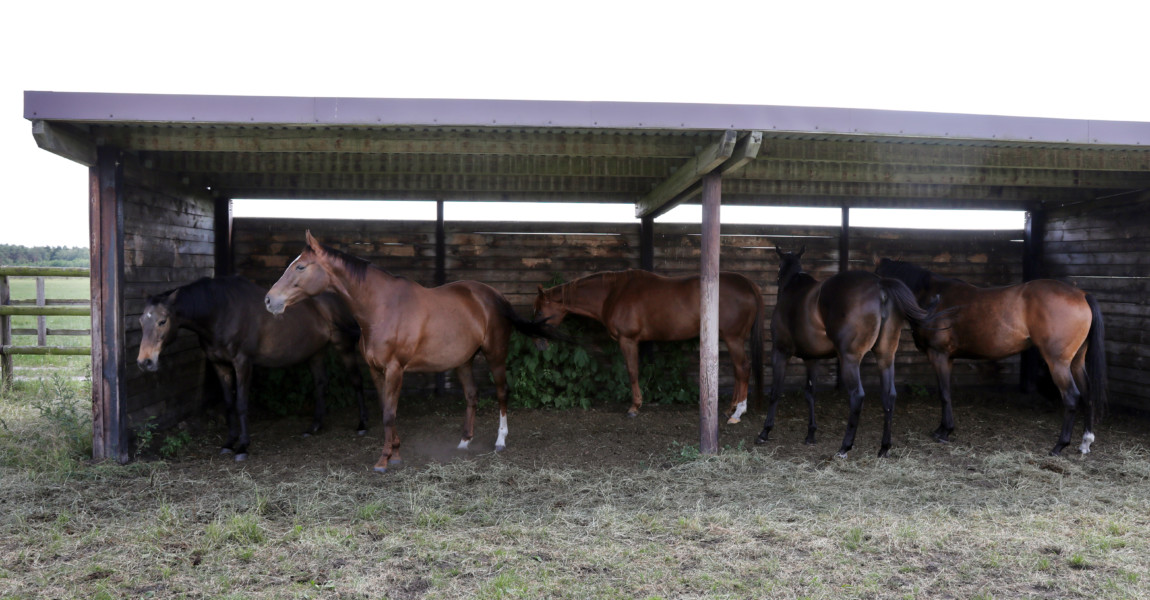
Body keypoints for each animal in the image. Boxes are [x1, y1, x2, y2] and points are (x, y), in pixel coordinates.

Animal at [136, 273, 365, 459]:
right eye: (141, 321)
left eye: (163, 321)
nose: (145, 362)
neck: (221, 312)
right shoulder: (220, 365)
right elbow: (229, 404)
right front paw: (229, 443)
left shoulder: (243, 363)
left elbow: (241, 404)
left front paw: (243, 447)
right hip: (316, 352)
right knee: (320, 384)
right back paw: (314, 426)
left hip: (344, 346)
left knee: (356, 381)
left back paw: (362, 425)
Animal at [265, 231, 561, 468]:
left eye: (300, 267)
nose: (269, 300)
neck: (381, 307)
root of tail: (495, 296)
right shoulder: (376, 370)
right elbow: (386, 409)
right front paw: (395, 453)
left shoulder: (395, 369)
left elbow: (389, 414)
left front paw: (384, 461)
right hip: (464, 360)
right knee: (472, 396)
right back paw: (464, 442)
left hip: (495, 354)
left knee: (501, 393)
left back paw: (500, 441)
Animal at [531, 268, 763, 418]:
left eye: (540, 312)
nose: (537, 342)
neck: (613, 294)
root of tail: (748, 284)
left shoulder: (628, 340)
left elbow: (632, 371)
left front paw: (634, 407)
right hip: (730, 338)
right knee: (738, 370)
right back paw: (730, 408)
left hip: (733, 338)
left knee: (743, 368)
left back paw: (738, 412)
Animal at [759, 244, 938, 455]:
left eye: (778, 268)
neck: (793, 288)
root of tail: (880, 285)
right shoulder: (812, 358)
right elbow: (810, 393)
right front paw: (810, 434)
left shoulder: (780, 351)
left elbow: (775, 391)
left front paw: (765, 431)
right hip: (885, 357)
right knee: (889, 396)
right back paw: (884, 447)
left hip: (849, 359)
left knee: (857, 396)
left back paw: (845, 446)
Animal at [874, 255, 1108, 452]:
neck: (932, 298)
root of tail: (1081, 295)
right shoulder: (948, 359)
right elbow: (946, 392)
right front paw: (944, 428)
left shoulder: (938, 355)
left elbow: (944, 393)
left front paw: (945, 431)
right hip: (1076, 361)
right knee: (1088, 393)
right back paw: (1085, 442)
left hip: (1058, 363)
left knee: (1071, 396)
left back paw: (1059, 446)